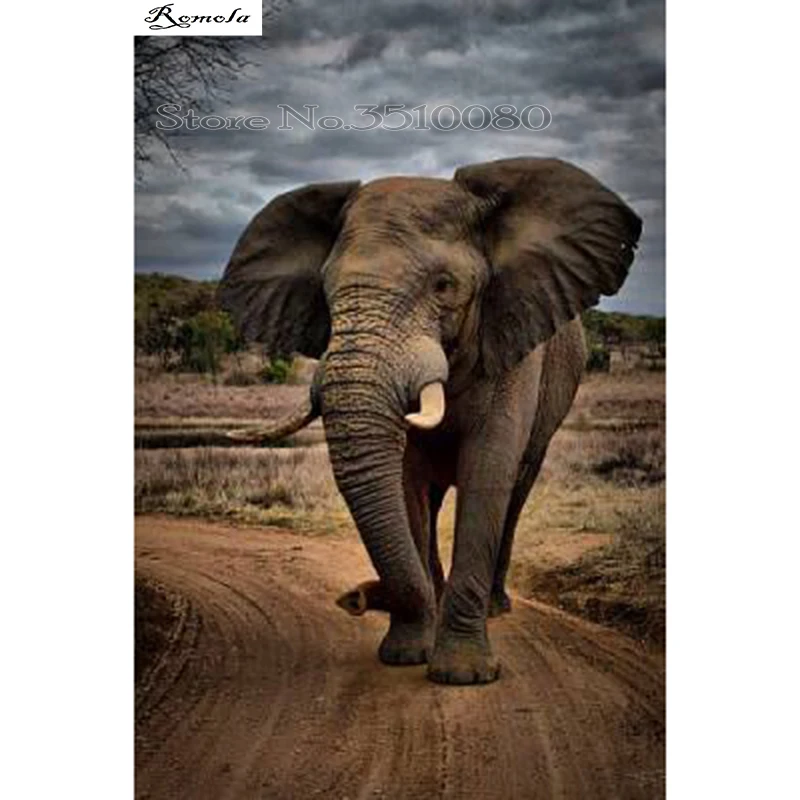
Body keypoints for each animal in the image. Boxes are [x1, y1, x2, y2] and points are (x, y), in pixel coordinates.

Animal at [218, 157, 641, 685]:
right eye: (327, 292)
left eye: (443, 286)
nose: (352, 598)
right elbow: (406, 482)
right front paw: (406, 653)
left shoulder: (512, 336)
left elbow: (488, 471)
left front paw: (463, 674)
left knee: (517, 490)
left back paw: (494, 607)